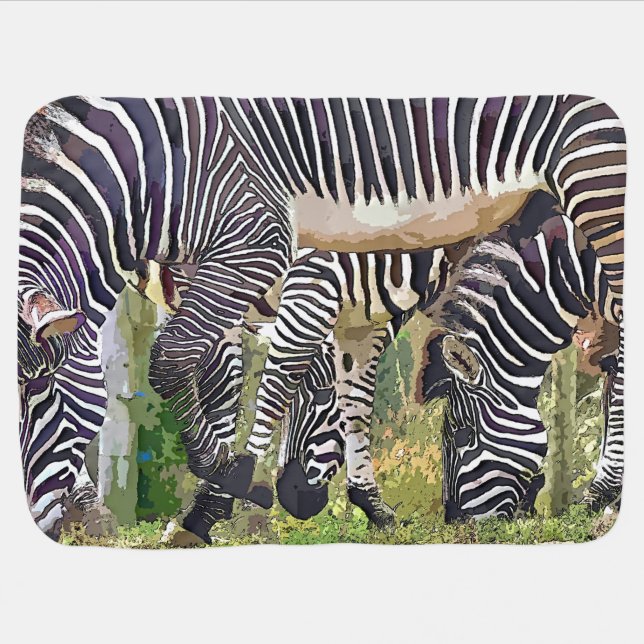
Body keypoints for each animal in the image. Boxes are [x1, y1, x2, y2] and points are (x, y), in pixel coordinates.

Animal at [18, 96, 624, 538]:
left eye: (461, 435)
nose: (462, 526)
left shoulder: (364, 314)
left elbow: (353, 400)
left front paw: (369, 506)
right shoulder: (314, 280)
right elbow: (280, 377)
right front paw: (226, 505)